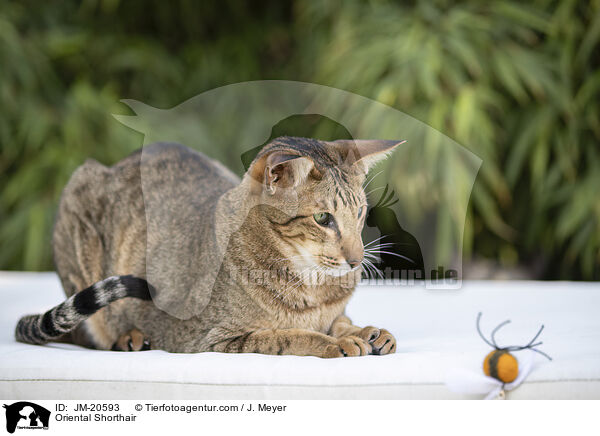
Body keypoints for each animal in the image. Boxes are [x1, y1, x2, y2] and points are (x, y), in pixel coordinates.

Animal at [15, 136, 398, 358]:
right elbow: (290, 336)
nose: (357, 260)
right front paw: (336, 343)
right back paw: (128, 337)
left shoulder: (334, 311)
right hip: (78, 209)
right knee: (87, 330)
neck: (313, 289)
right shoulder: (214, 339)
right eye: (322, 218)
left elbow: (341, 320)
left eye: (360, 212)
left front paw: (369, 332)